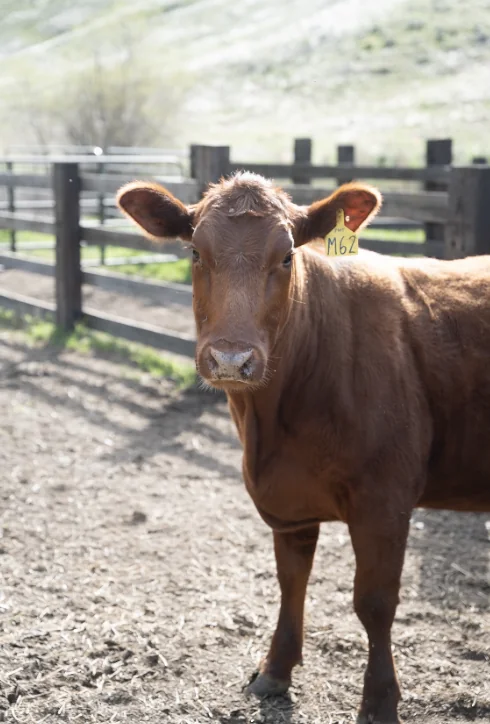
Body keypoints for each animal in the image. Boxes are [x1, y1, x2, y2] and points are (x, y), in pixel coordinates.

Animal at [117, 173, 490, 724]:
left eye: (288, 256)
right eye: (196, 253)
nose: (231, 358)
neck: (271, 427)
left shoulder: (385, 499)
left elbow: (375, 601)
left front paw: (379, 701)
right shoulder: (286, 503)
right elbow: (290, 581)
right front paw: (275, 670)